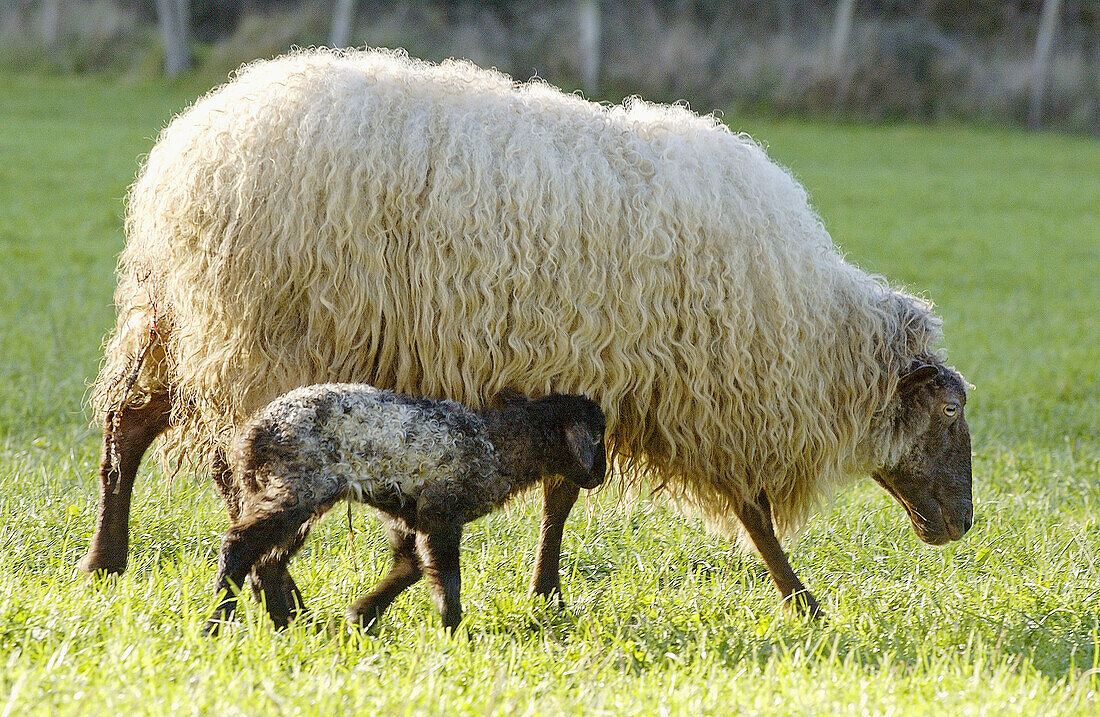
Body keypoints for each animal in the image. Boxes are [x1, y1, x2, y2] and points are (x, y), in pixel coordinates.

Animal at [202, 387, 607, 633]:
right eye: (598, 437)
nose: (600, 475)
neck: (498, 444)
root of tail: (253, 435)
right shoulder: (441, 513)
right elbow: (446, 580)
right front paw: (456, 633)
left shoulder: (407, 515)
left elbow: (410, 567)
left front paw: (361, 616)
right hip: (299, 485)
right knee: (239, 544)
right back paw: (216, 624)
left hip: (282, 491)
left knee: (268, 561)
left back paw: (286, 625)